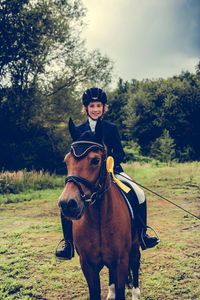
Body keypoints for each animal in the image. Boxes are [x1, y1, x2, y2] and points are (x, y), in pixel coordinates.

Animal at [58, 118, 141, 298]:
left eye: (95, 160)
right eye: (66, 161)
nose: (68, 204)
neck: (99, 219)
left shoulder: (121, 261)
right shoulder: (88, 265)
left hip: (135, 244)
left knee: (136, 264)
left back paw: (135, 294)